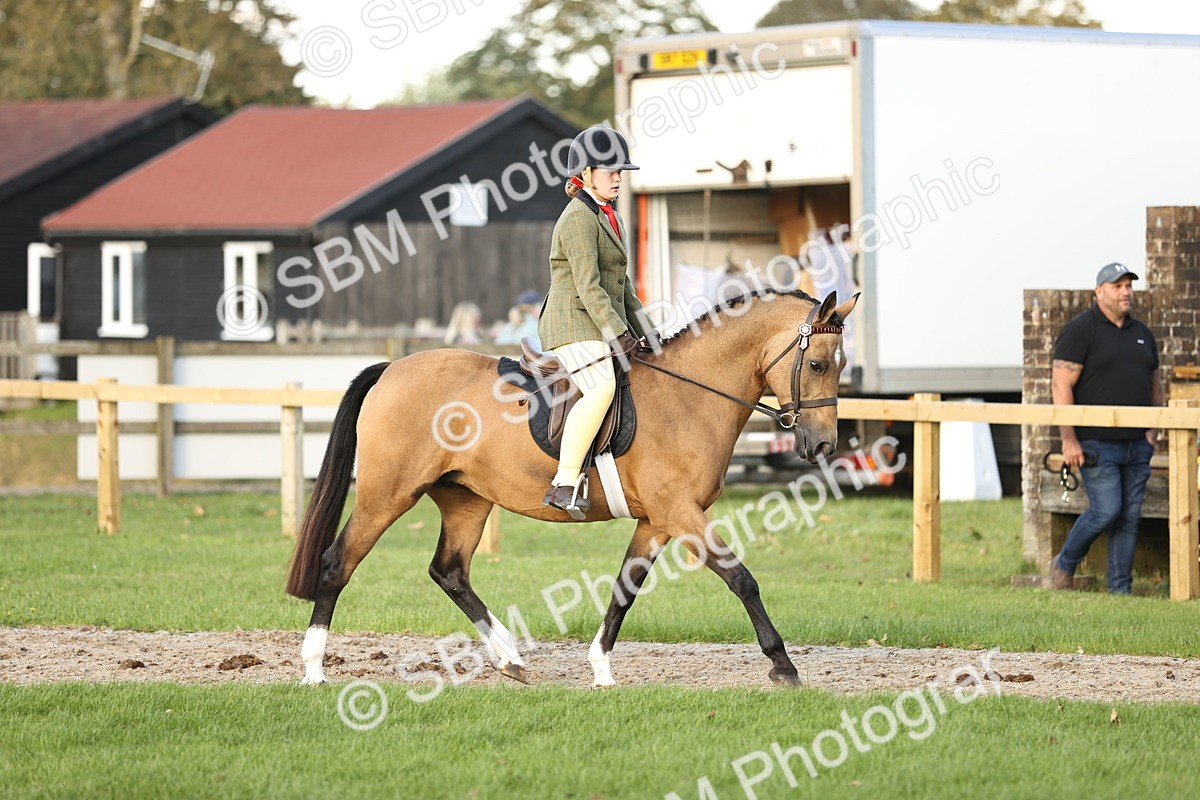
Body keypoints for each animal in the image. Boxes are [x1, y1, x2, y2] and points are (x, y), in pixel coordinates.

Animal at [286, 288, 860, 687]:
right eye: (816, 364)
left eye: (841, 365)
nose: (824, 444)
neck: (689, 397)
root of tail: (392, 370)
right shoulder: (682, 513)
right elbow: (741, 578)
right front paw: (783, 665)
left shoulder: (657, 520)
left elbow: (626, 587)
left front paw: (601, 668)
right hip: (387, 495)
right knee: (337, 563)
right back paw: (314, 668)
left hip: (467, 499)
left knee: (449, 572)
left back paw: (510, 658)